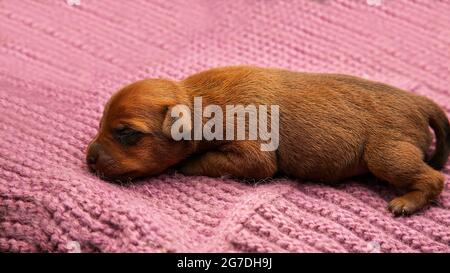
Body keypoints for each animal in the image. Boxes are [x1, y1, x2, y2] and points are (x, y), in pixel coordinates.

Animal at [86, 66, 448, 215]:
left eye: (127, 133)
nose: (88, 158)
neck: (202, 101)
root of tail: (420, 102)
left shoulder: (253, 154)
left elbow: (219, 161)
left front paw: (189, 164)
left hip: (386, 153)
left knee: (434, 178)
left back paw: (408, 202)